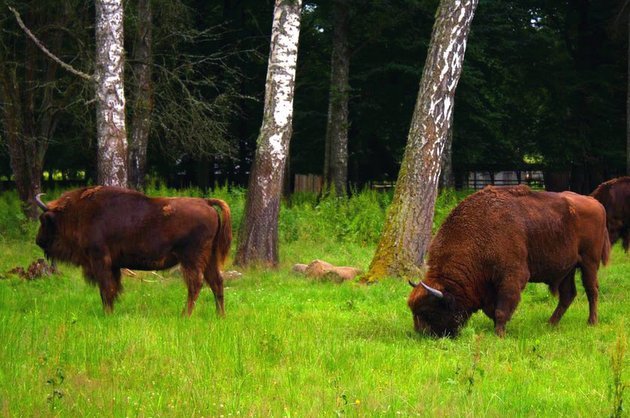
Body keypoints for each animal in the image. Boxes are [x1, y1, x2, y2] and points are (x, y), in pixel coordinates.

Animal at [35, 187, 232, 316]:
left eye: (44, 220)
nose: (38, 241)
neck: (80, 212)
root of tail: (206, 202)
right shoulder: (113, 265)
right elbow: (113, 288)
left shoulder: (100, 260)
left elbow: (105, 288)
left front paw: (107, 313)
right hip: (209, 258)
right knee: (216, 282)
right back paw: (220, 316)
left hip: (191, 258)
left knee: (196, 284)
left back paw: (185, 315)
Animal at [410, 185, 612, 336]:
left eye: (428, 311)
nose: (421, 334)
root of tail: (596, 203)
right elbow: (493, 310)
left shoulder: (512, 277)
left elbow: (501, 309)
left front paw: (499, 334)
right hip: (566, 270)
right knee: (568, 295)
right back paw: (550, 324)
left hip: (589, 263)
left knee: (592, 290)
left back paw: (591, 322)